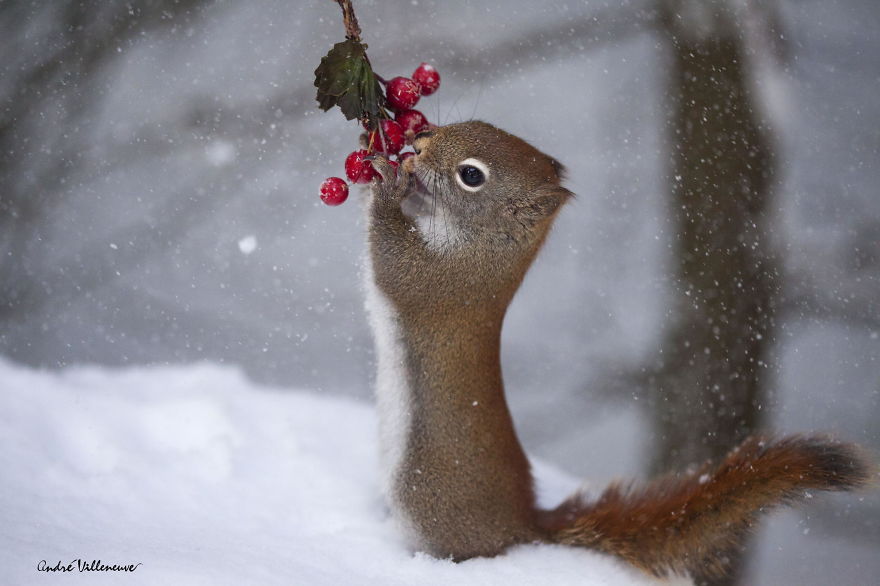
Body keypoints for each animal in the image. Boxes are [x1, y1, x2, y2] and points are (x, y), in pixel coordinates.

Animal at [362, 120, 873, 579]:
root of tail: (526, 526)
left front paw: (386, 186)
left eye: (471, 175)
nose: (418, 142)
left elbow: (392, 261)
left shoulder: (441, 284)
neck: (486, 247)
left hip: (429, 501)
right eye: (467, 122)